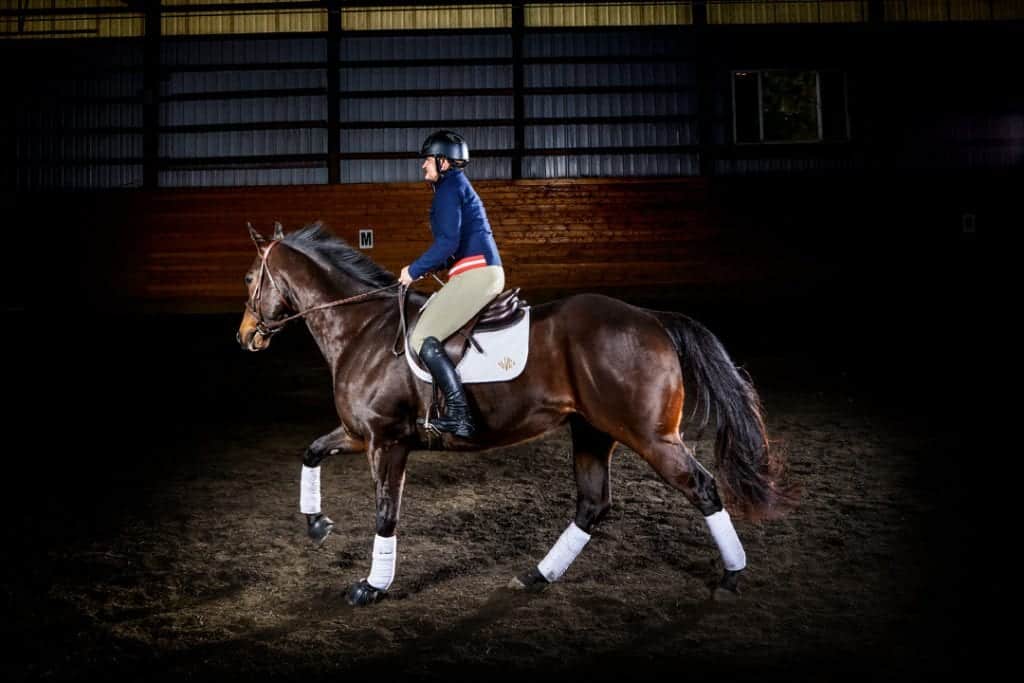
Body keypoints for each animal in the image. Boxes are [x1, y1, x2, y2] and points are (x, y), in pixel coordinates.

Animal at [237, 222, 790, 606]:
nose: (246, 337)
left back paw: (731, 578)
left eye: (248, 278)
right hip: (593, 431)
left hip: (651, 437)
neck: (361, 328)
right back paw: (537, 575)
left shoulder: (387, 442)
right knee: (592, 505)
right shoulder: (361, 434)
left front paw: (372, 587)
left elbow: (385, 514)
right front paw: (316, 524)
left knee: (703, 488)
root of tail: (652, 318)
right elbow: (310, 451)